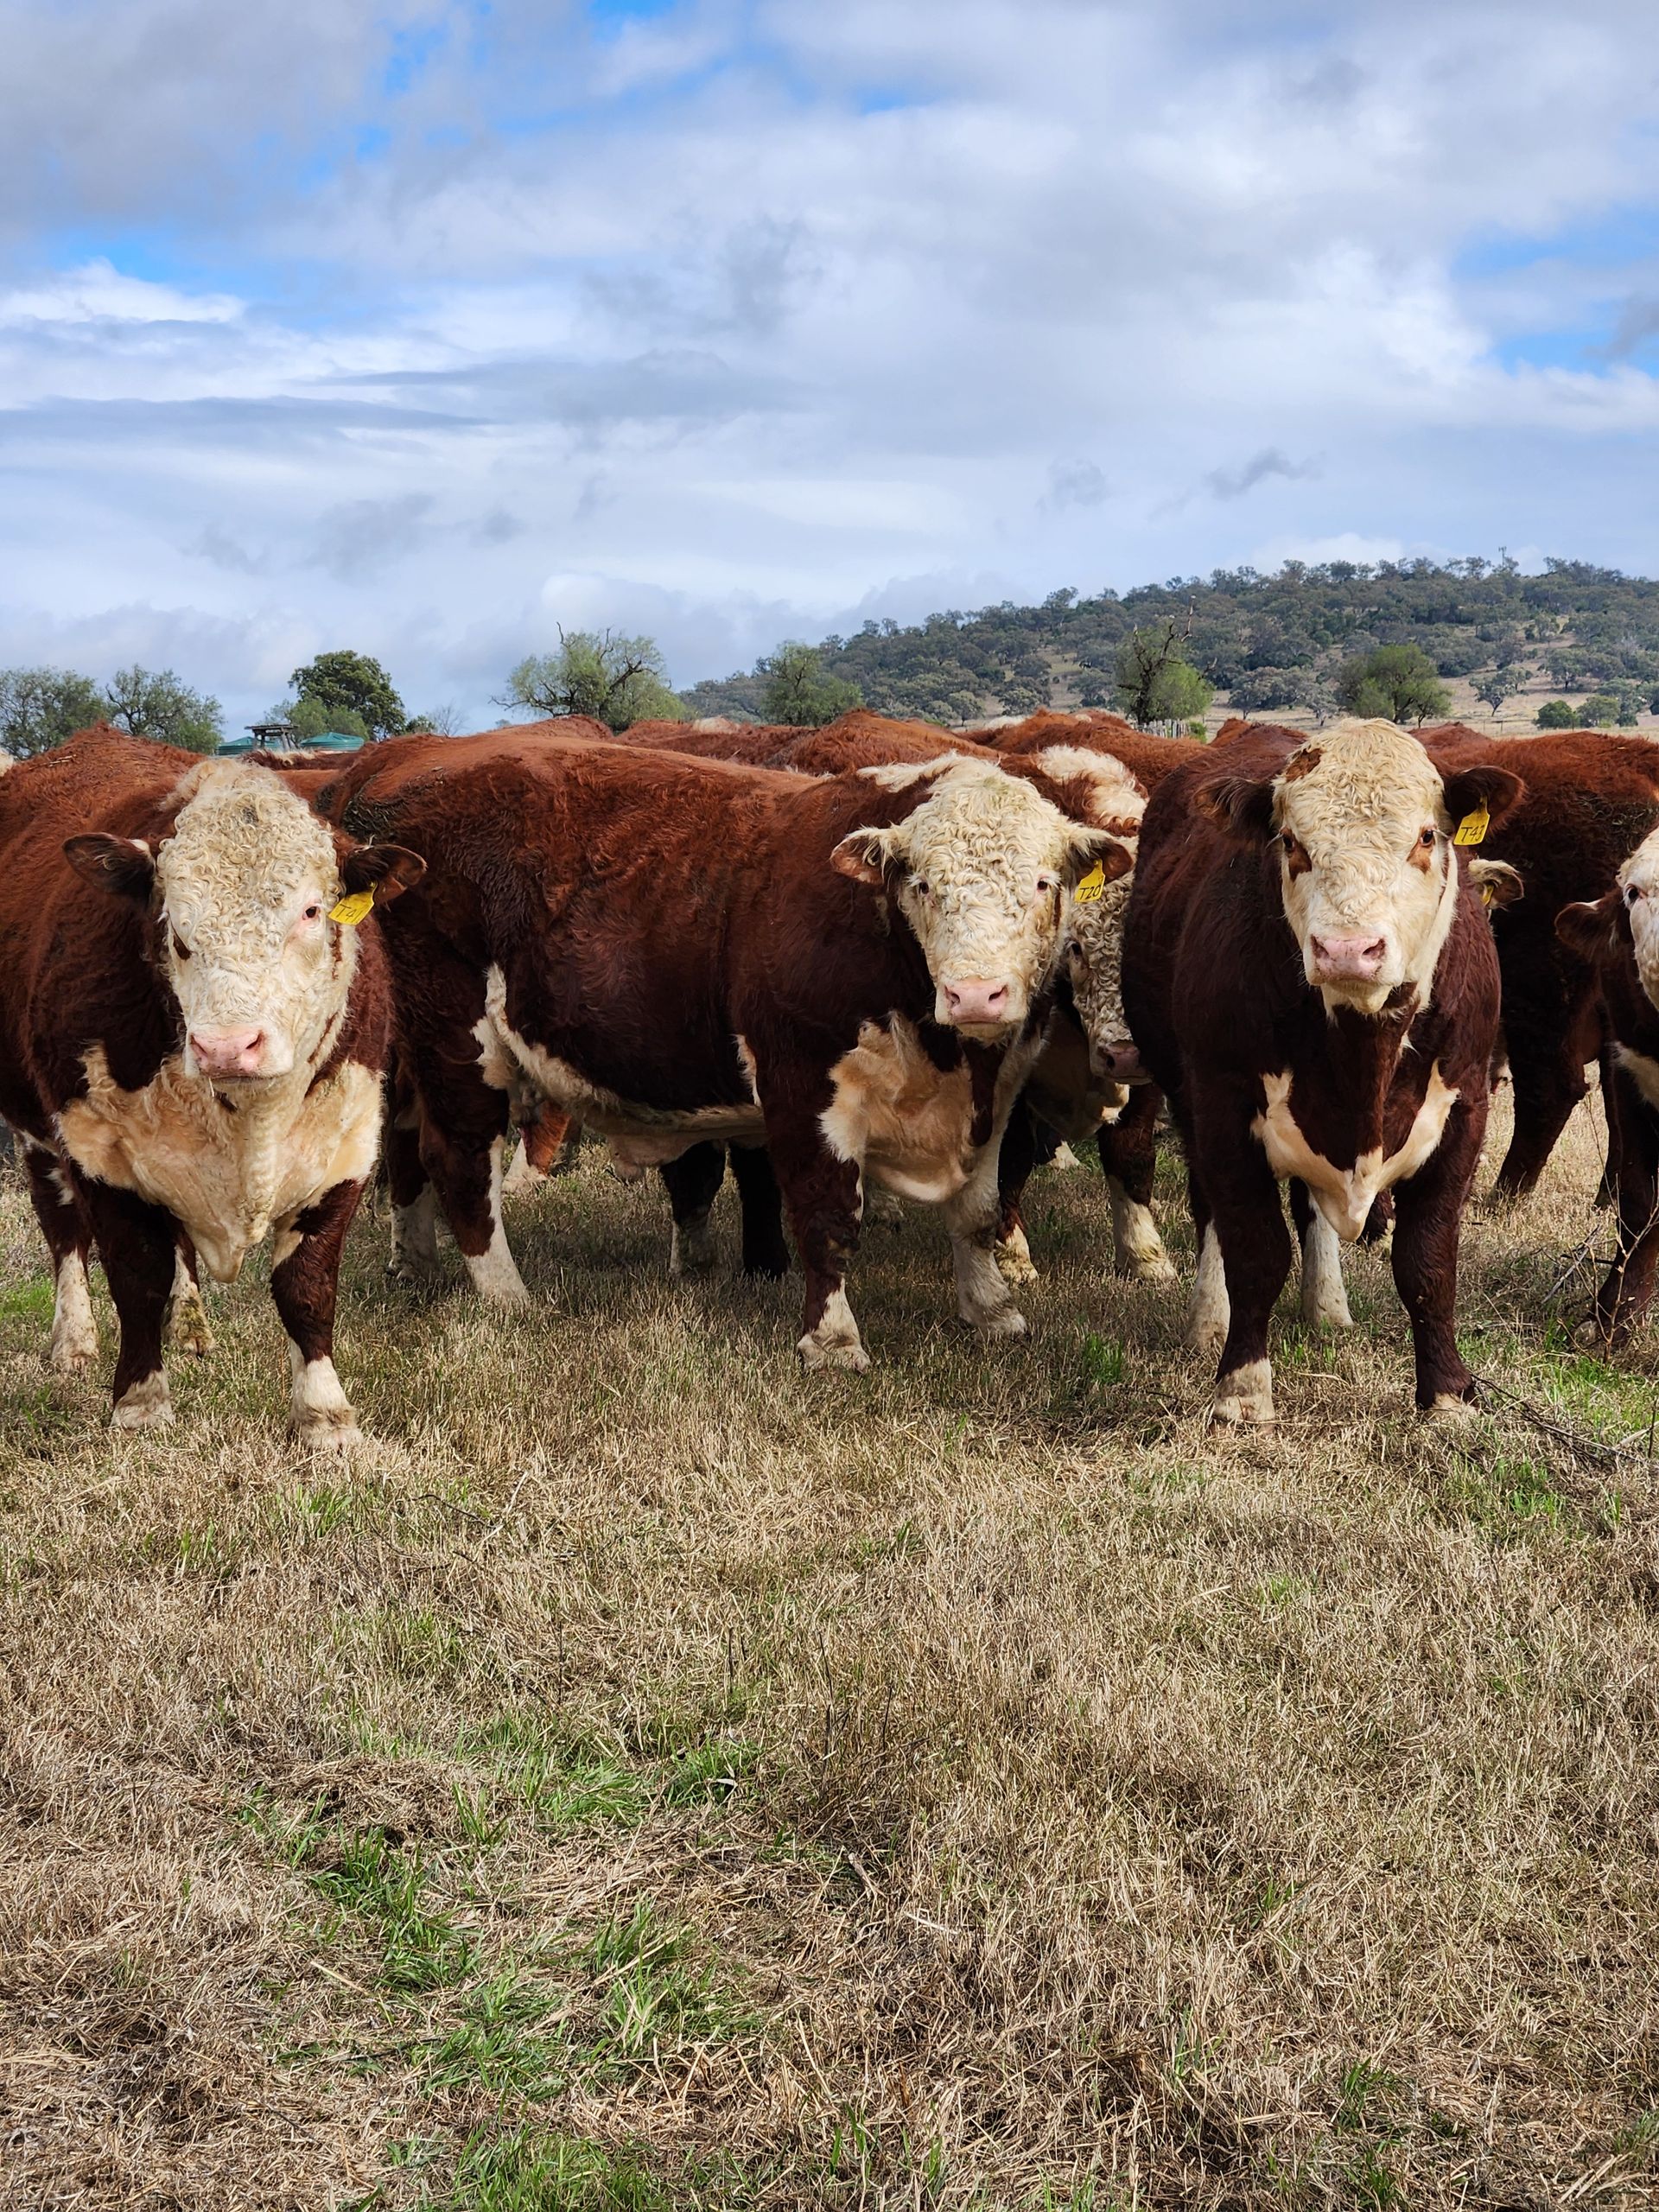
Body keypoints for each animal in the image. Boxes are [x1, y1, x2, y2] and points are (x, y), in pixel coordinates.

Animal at [0, 728, 422, 1439]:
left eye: (312, 911)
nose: (226, 1046)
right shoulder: (95, 1147)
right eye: (171, 922)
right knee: (62, 1229)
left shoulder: (347, 1143)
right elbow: (134, 1275)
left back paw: (191, 1325)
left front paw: (325, 1416)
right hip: (35, 1131)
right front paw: (140, 1403)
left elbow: (306, 1285)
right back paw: (74, 1340)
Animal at [314, 728, 1128, 1368]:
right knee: (459, 1160)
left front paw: (992, 1312)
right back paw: (508, 1294)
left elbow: (979, 1211)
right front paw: (833, 1342)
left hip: (412, 1051)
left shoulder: (996, 1093)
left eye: (1044, 883)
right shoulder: (804, 1084)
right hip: (458, 1041)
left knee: (407, 1149)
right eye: (921, 884)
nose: (975, 994)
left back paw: (416, 1265)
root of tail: (397, 767)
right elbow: (827, 1216)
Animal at [1122, 718, 1523, 1422]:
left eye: (1426, 836)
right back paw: (1209, 1321)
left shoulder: (1464, 1109)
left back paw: (1327, 1305)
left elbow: (1428, 1260)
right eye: (1290, 841)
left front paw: (1446, 1392)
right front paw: (1243, 1387)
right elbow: (1254, 1248)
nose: (1347, 950)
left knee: (1313, 1210)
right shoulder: (1222, 1106)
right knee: (1212, 1215)